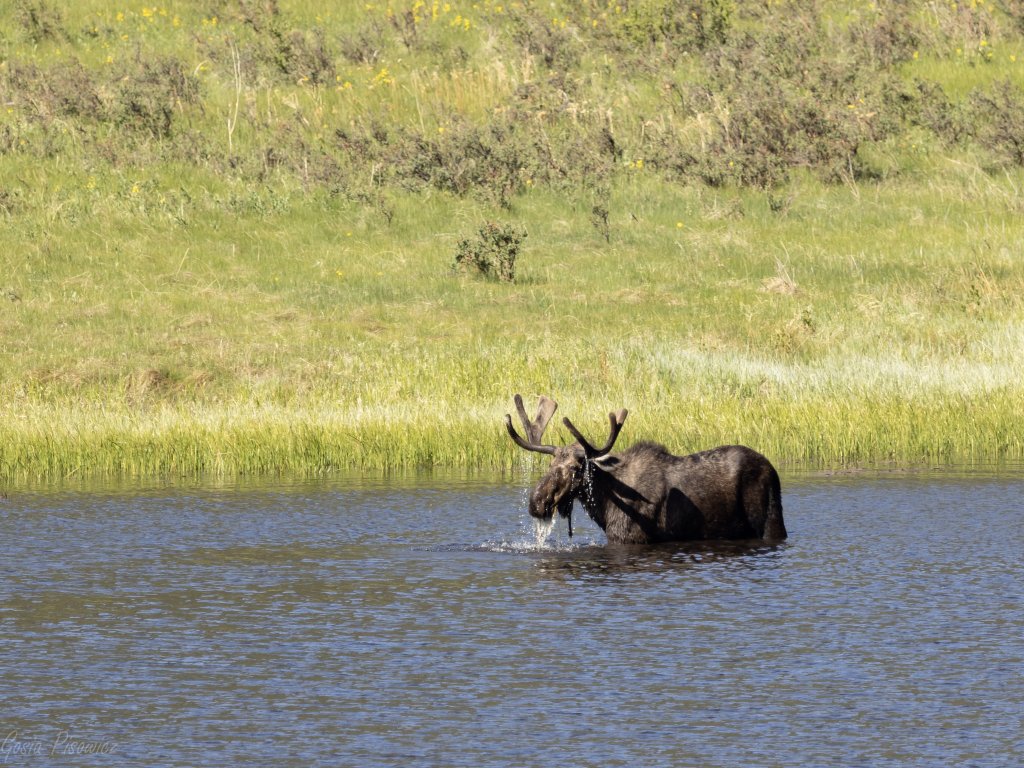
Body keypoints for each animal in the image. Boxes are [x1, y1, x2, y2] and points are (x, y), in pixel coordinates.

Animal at [505, 394, 787, 545]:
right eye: (550, 464)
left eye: (576, 468)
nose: (537, 502)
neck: (605, 505)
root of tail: (773, 470)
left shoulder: (632, 539)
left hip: (771, 521)